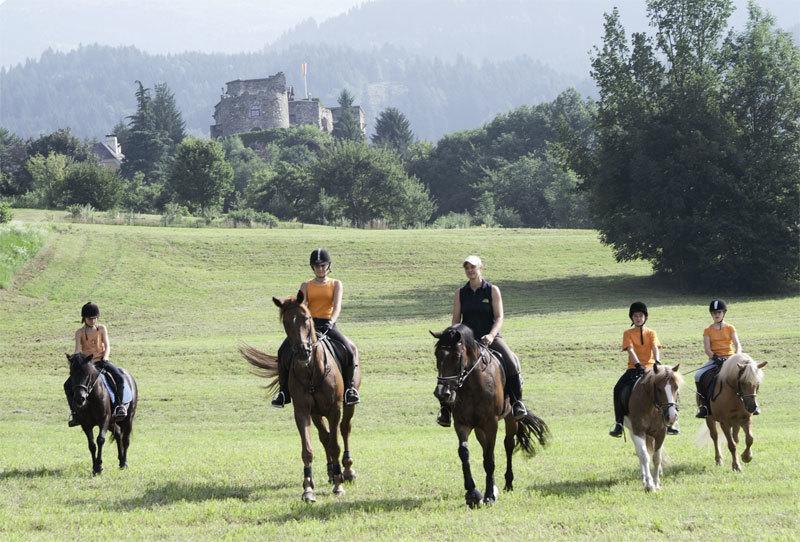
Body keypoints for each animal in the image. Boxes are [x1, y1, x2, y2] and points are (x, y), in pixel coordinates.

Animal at [239, 294, 360, 506]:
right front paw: (308, 489)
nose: (303, 351)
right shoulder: (302, 411)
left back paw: (347, 470)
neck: (312, 370)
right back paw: (331, 472)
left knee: (344, 430)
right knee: (325, 436)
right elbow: (308, 449)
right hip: (316, 414)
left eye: (306, 318)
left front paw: (339, 485)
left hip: (347, 406)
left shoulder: (334, 410)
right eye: (286, 322)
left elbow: (335, 445)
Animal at [432, 328, 552, 510]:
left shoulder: (491, 423)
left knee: (508, 445)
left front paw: (489, 496)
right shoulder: (462, 424)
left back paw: (508, 483)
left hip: (510, 419)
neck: (472, 384)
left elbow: (489, 459)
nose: (442, 393)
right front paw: (472, 493)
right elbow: (464, 453)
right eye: (437, 355)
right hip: (479, 428)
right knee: (485, 448)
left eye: (457, 356)